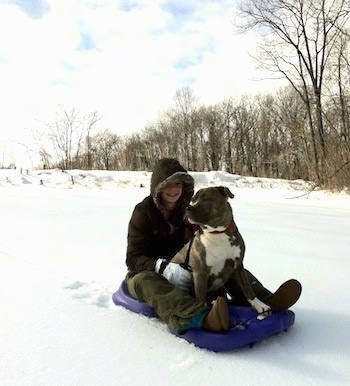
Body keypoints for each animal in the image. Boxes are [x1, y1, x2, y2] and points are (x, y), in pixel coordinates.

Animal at [172, 185, 270, 316]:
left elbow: (247, 287)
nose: (188, 208)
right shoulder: (200, 273)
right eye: (192, 200)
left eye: (205, 199)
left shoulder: (238, 265)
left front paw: (260, 305)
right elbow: (201, 299)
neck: (217, 233)